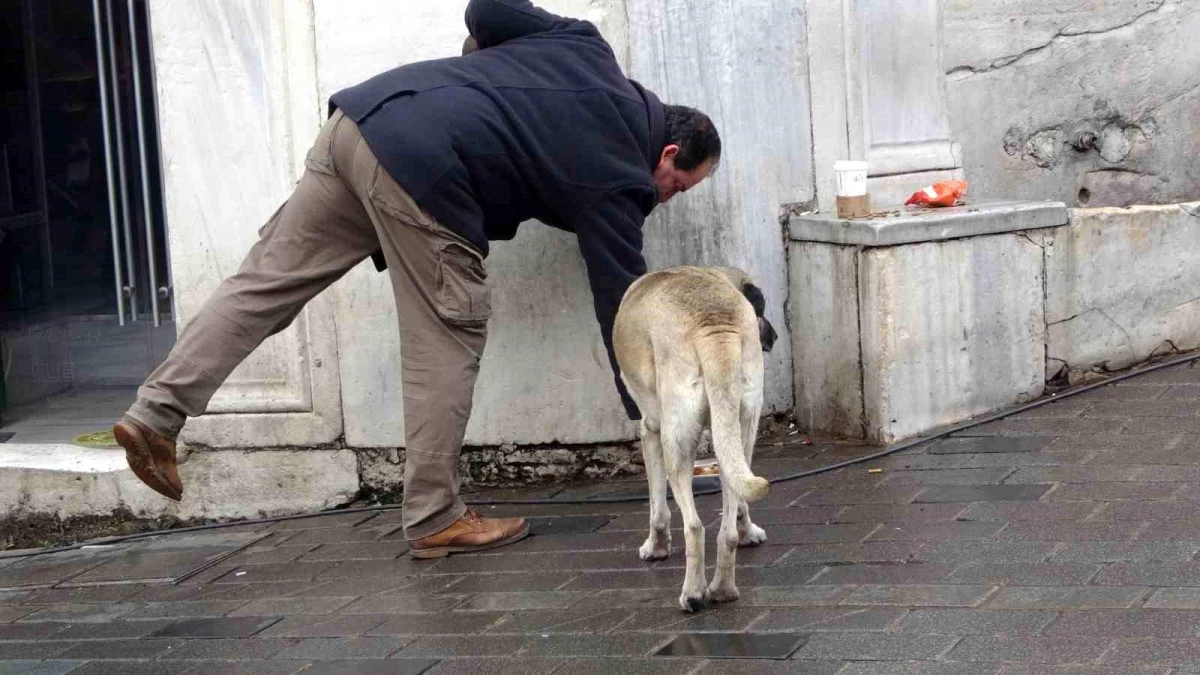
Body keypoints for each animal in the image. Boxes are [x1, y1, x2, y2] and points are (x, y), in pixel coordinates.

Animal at [614, 264, 772, 610]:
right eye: (762, 309)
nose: (774, 335)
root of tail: (714, 325)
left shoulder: (650, 431)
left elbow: (657, 505)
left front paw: (656, 546)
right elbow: (739, 505)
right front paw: (749, 531)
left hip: (676, 443)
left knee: (695, 526)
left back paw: (693, 593)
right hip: (741, 430)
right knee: (727, 525)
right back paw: (723, 588)